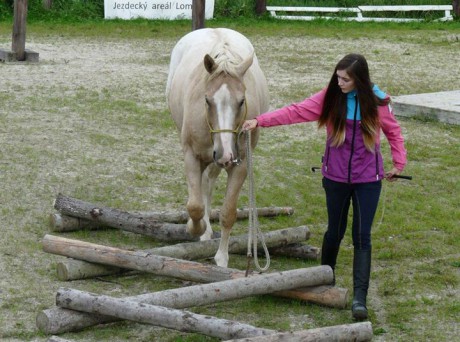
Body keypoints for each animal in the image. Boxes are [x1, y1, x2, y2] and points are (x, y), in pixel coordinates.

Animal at [167, 28, 270, 268]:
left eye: (241, 101)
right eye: (207, 100)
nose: (224, 154)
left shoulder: (240, 164)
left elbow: (228, 213)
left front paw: (222, 258)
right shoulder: (191, 156)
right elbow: (194, 206)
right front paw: (195, 228)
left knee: (208, 182)